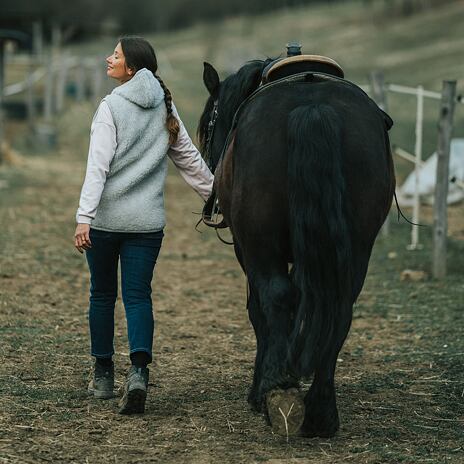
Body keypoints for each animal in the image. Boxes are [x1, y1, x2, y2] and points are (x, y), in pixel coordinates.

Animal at [198, 59, 396, 438]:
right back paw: (320, 412)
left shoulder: (248, 252)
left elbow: (261, 313)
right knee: (339, 309)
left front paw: (260, 391)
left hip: (261, 244)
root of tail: (313, 107)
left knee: (277, 298)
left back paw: (280, 395)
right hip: (357, 247)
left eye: (210, 126)